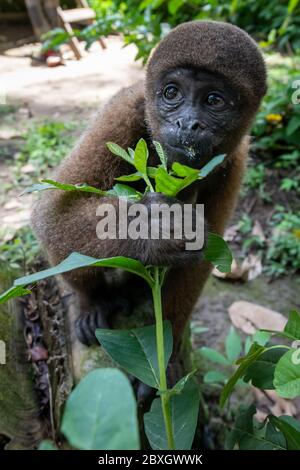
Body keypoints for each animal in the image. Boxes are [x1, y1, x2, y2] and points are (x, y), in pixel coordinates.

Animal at [31, 20, 268, 362]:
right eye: (172, 93)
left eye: (214, 100)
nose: (187, 123)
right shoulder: (122, 110)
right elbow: (53, 211)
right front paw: (154, 228)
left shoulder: (235, 161)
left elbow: (204, 255)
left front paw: (166, 357)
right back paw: (93, 302)